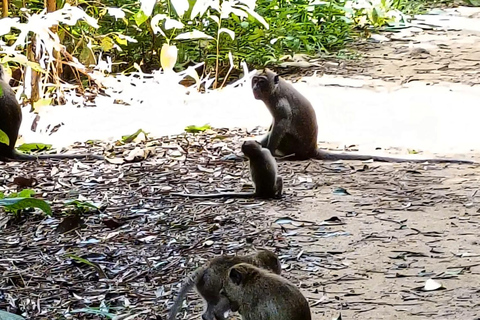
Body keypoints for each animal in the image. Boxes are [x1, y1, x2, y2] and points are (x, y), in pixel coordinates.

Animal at [253, 69, 474, 164]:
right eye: (254, 80)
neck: (274, 91)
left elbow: (281, 125)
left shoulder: (280, 104)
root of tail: (312, 149)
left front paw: (268, 151)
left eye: (261, 82)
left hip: (294, 146)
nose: (254, 87)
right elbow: (273, 126)